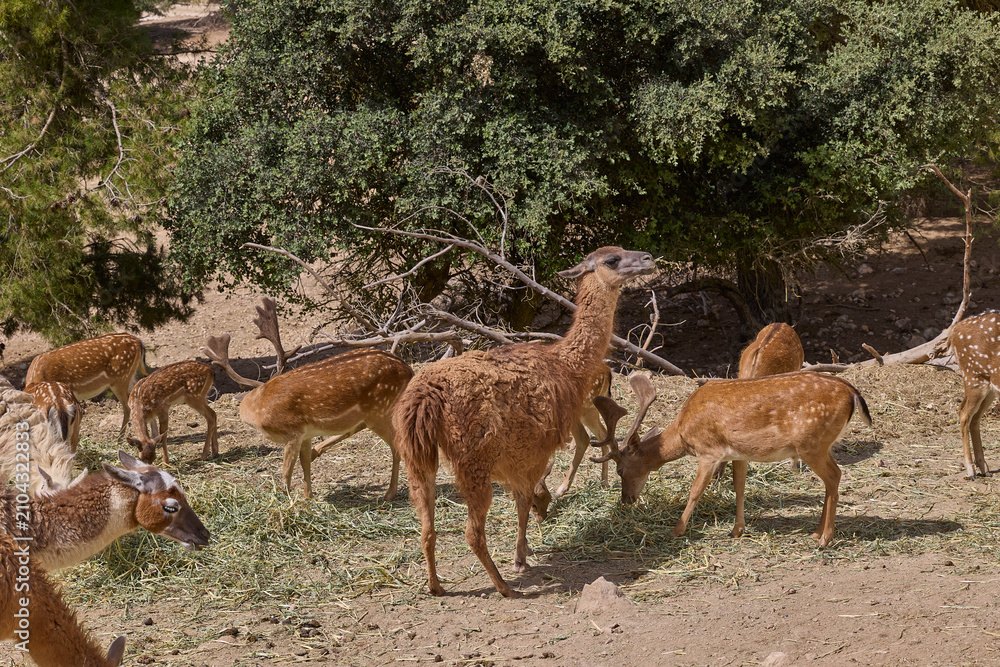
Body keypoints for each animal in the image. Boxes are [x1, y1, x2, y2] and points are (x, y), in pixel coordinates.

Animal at [208, 340, 414, 501]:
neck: (259, 407)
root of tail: (409, 370)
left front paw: (286, 498)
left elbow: (286, 469)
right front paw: (308, 496)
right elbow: (304, 462)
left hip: (380, 411)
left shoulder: (292, 432)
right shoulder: (306, 434)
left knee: (397, 445)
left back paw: (389, 494)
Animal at [532, 363, 612, 520]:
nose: (541, 518)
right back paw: (604, 482)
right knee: (602, 434)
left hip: (585, 407)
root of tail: (607, 370)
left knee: (587, 437)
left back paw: (563, 489)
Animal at [593, 371, 871, 547]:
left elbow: (695, 491)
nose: (626, 500)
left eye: (620, 470)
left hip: (811, 444)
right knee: (831, 480)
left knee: (834, 476)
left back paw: (824, 539)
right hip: (823, 445)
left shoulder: (709, 451)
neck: (683, 433)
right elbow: (739, 487)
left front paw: (676, 530)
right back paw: (815, 533)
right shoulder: (738, 453)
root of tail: (852, 392)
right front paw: (737, 530)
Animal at [946, 311, 1000, 479]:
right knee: (963, 412)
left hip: (989, 388)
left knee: (974, 418)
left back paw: (983, 467)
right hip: (973, 376)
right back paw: (971, 469)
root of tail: (954, 331)